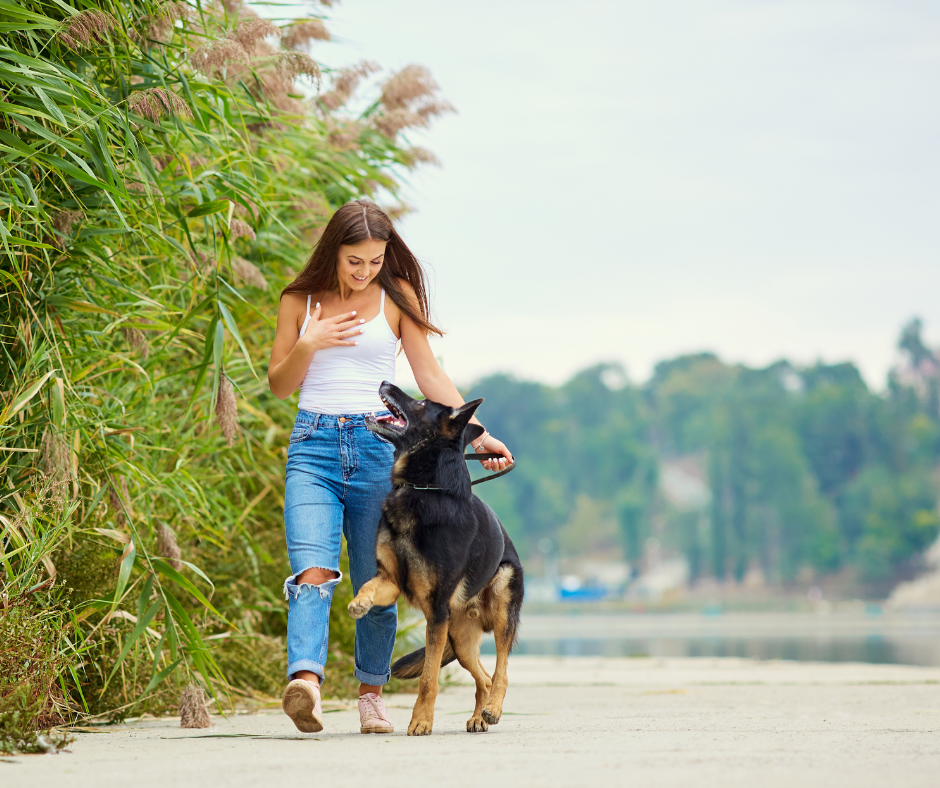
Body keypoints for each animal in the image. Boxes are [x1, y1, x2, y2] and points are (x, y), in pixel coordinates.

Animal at [350, 384, 528, 740]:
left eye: (420, 403)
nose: (385, 382)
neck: (423, 489)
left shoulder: (435, 611)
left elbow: (428, 677)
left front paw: (421, 721)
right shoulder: (391, 582)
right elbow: (369, 585)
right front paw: (360, 603)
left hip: (499, 606)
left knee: (500, 672)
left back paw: (492, 709)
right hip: (458, 639)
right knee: (483, 678)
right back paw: (477, 717)